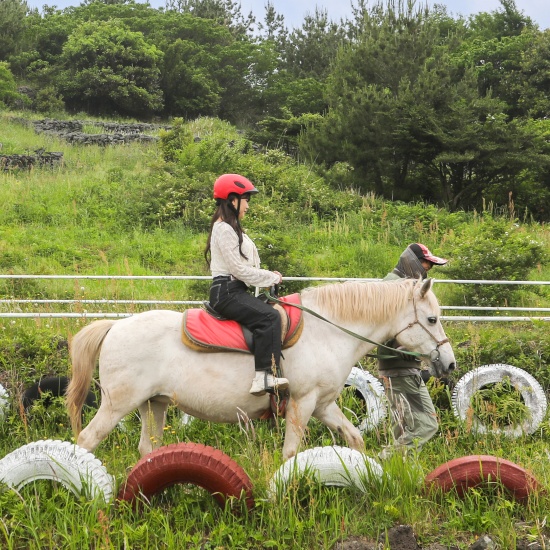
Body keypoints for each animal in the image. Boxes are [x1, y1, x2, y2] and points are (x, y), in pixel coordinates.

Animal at [68, 278, 458, 464]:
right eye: (432, 319)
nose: (450, 363)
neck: (328, 331)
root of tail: (115, 325)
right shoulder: (302, 403)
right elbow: (290, 453)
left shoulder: (323, 405)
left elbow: (354, 438)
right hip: (117, 404)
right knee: (87, 439)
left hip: (155, 404)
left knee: (147, 447)